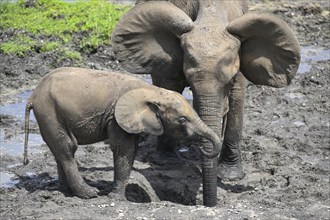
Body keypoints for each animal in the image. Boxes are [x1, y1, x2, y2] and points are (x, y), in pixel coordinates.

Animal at [23, 67, 222, 201]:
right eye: (182, 120)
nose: (202, 149)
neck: (153, 92)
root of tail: (32, 96)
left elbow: (131, 150)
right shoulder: (117, 118)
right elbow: (123, 150)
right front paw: (117, 199)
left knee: (60, 151)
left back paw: (66, 192)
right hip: (49, 113)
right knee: (67, 150)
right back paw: (90, 194)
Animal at [112, 0, 300, 206]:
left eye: (229, 80)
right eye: (190, 81)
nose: (204, 147)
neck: (211, 17)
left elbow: (237, 99)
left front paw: (230, 175)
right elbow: (169, 84)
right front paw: (166, 161)